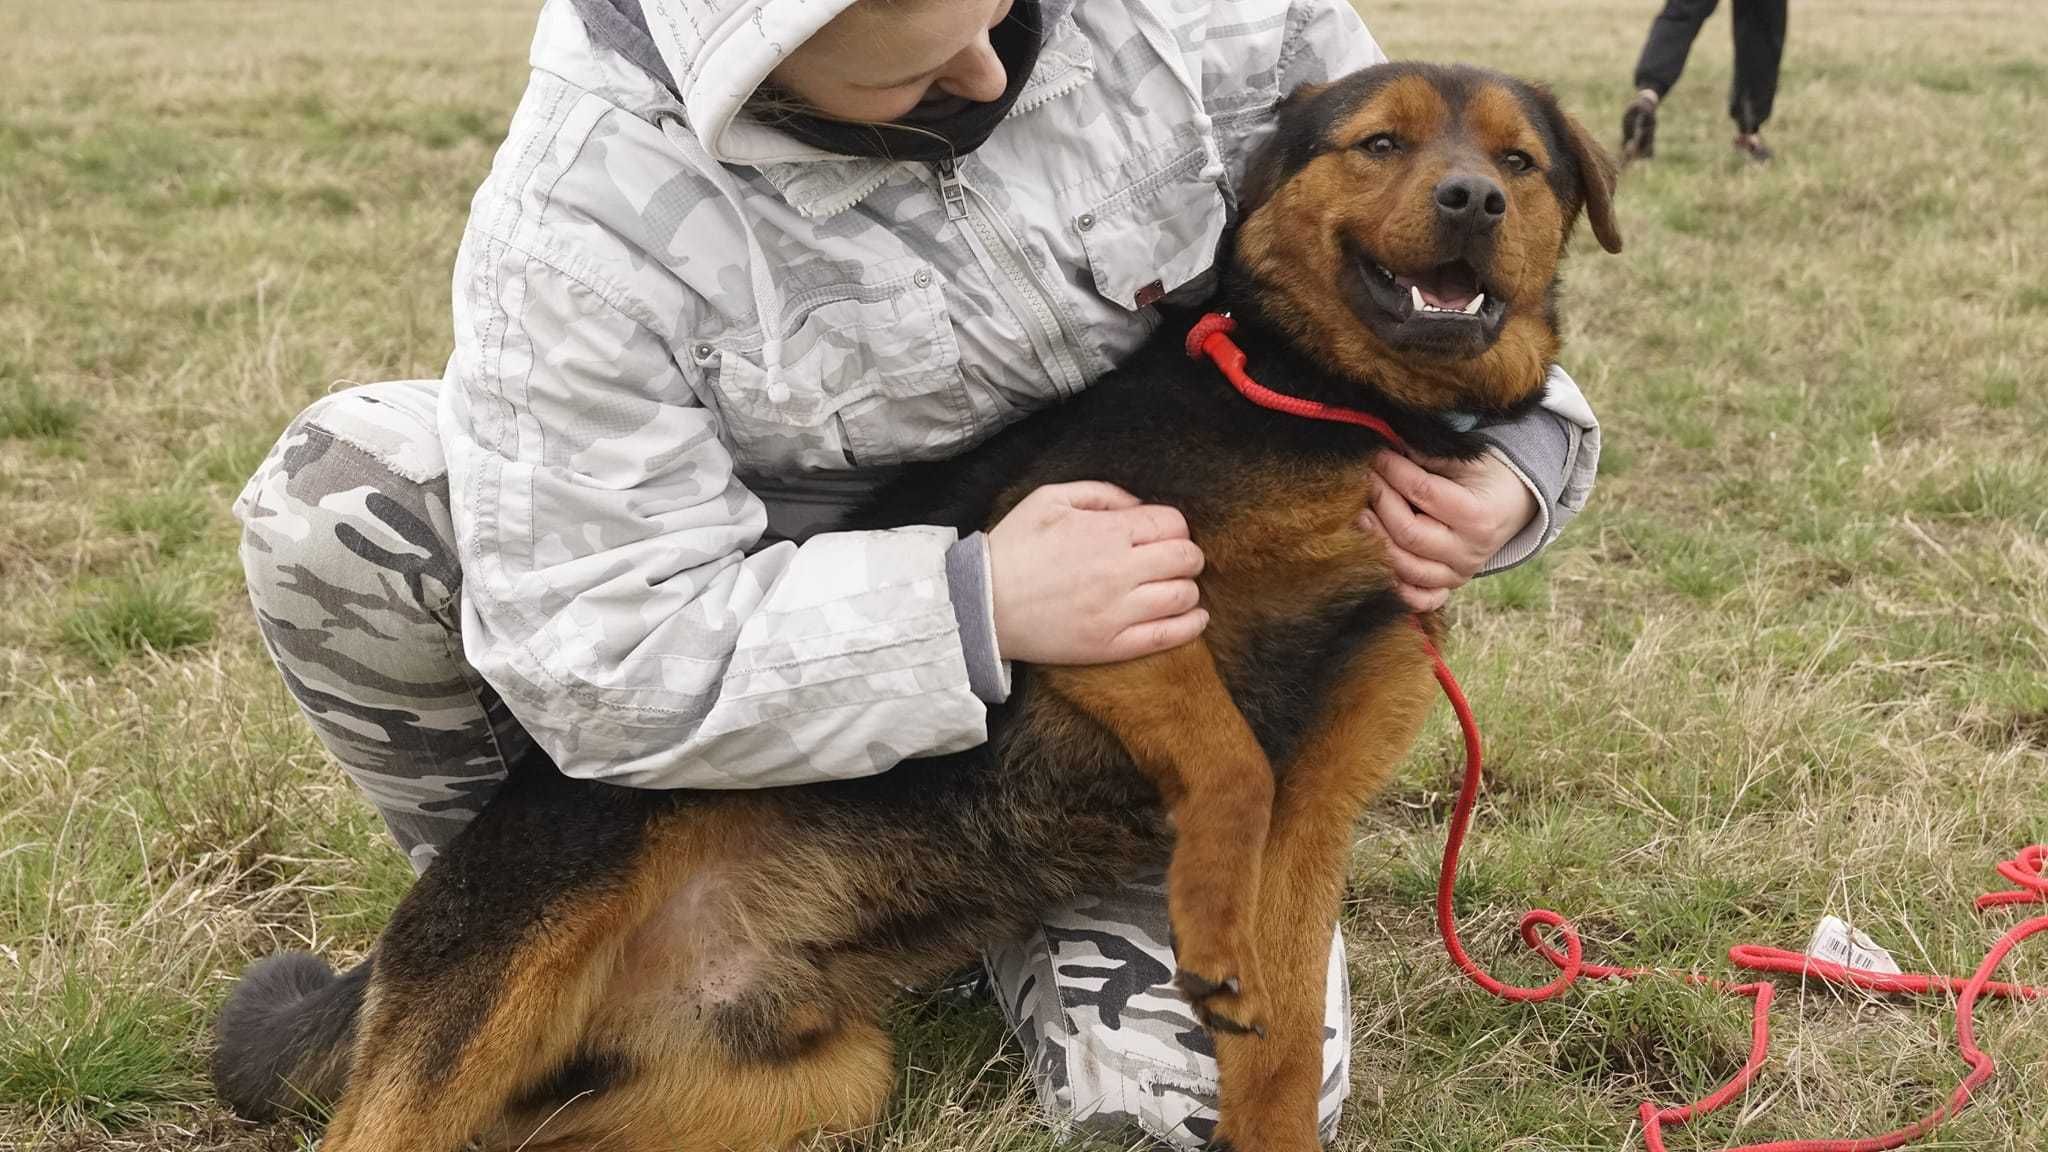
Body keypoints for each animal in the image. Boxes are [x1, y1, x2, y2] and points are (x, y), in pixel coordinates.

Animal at [207, 62, 1613, 1147]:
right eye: (1380, 142)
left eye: (1519, 161)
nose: (1473, 198)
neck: (1326, 402)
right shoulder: (1108, 591)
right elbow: (1227, 765)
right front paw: (1205, 923)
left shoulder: (1317, 806)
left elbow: (1271, 1044)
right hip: (500, 986)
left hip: (801, 1084)